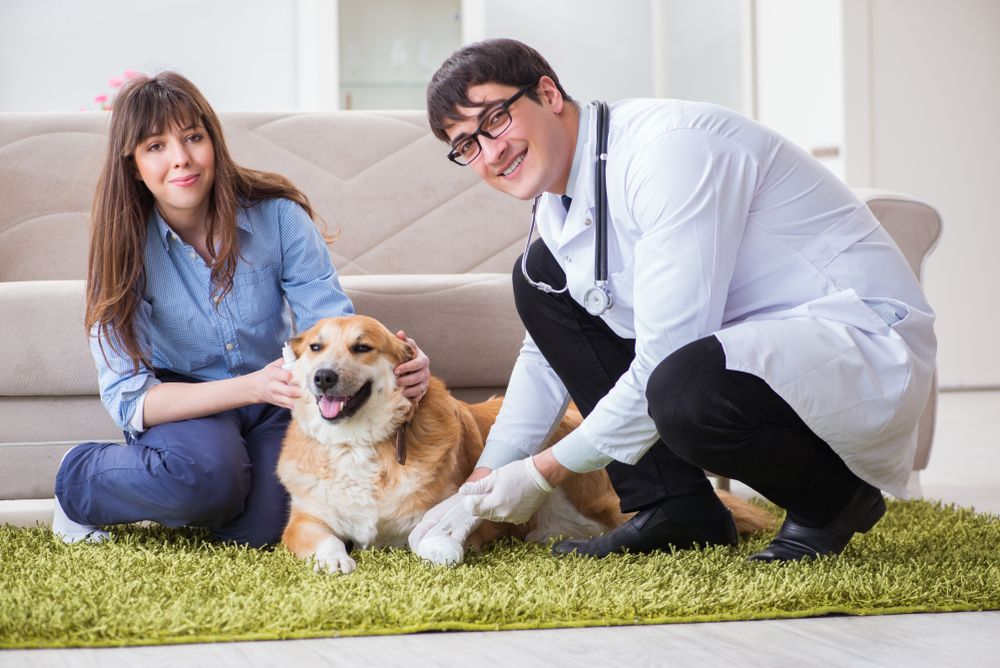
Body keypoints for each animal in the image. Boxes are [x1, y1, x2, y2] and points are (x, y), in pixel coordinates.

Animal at [278, 314, 776, 576]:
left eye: (362, 348)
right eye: (317, 348)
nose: (323, 378)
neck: (360, 443)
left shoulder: (456, 518)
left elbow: (435, 532)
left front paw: (438, 547)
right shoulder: (304, 521)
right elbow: (323, 538)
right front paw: (335, 559)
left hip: (594, 495)